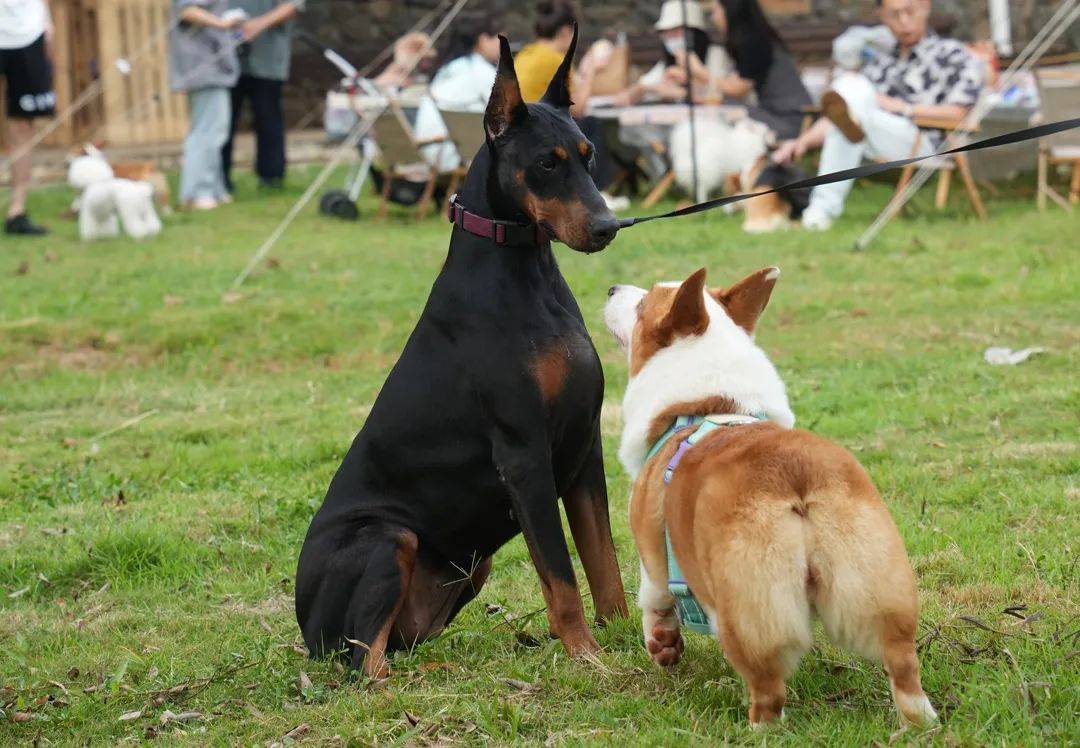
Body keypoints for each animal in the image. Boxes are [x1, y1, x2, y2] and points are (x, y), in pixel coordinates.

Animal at [300, 29, 630, 673]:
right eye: (546, 163)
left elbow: (605, 565)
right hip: (387, 538)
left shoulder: (585, 449)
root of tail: (302, 626)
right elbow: (561, 578)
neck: (525, 272)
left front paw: (636, 644)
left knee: (391, 649)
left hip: (471, 568)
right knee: (364, 664)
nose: (608, 226)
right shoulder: (525, 456)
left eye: (588, 155)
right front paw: (588, 657)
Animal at [609, 265, 937, 725]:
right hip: (875, 581)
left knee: (766, 688)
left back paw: (758, 728)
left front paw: (663, 647)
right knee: (903, 663)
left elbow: (653, 598)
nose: (612, 288)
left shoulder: (650, 547)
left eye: (642, 305)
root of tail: (794, 472)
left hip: (751, 608)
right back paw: (919, 723)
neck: (708, 400)